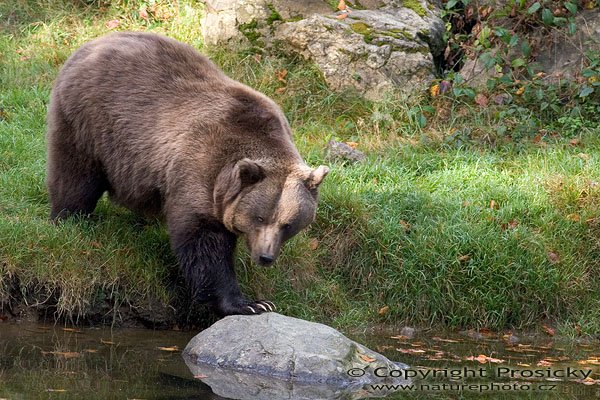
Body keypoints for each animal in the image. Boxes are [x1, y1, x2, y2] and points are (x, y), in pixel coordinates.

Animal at [45, 32, 328, 316]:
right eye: (259, 217)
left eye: (288, 224)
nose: (265, 256)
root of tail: (92, 42)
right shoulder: (200, 168)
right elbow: (204, 243)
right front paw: (247, 303)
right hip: (88, 122)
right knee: (75, 176)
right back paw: (69, 218)